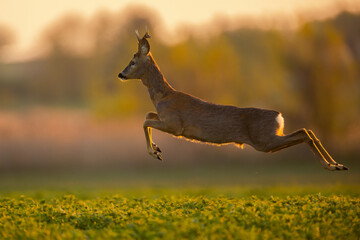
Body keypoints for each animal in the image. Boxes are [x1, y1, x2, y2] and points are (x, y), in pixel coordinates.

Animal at [118, 29, 348, 171]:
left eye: (132, 61)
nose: (121, 74)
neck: (164, 96)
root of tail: (279, 116)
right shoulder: (165, 119)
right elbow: (147, 115)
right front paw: (157, 148)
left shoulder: (175, 126)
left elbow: (145, 121)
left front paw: (155, 152)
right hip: (269, 139)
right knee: (308, 131)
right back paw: (338, 165)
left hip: (264, 140)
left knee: (304, 133)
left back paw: (332, 166)